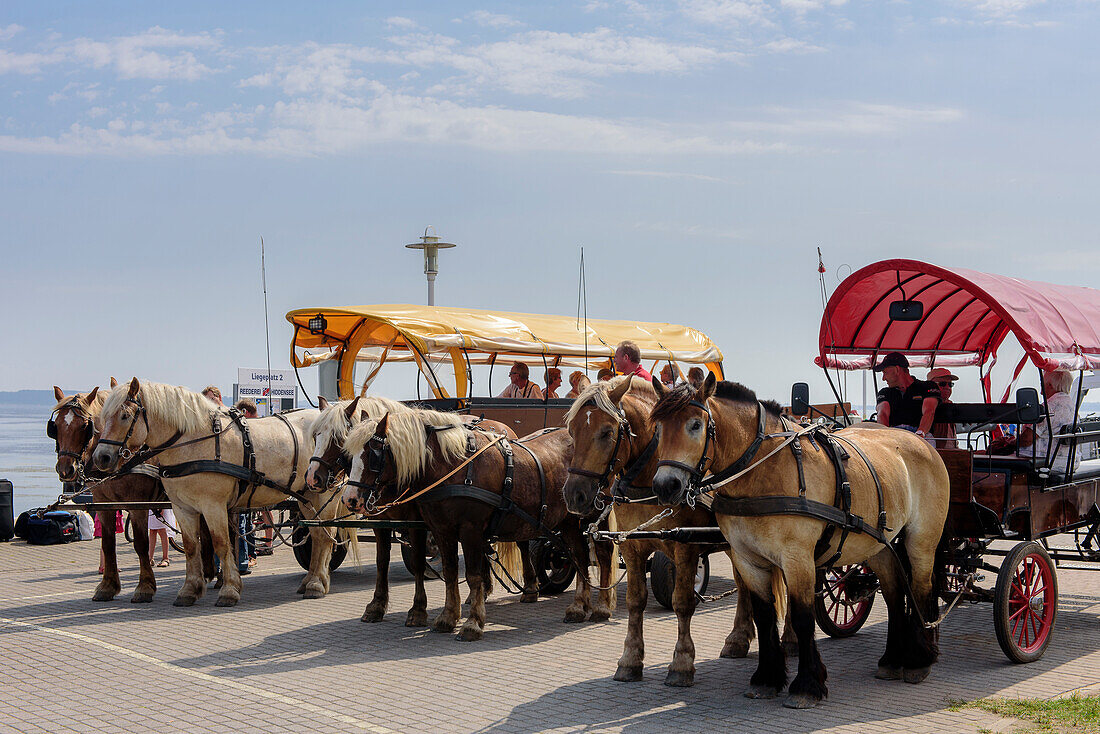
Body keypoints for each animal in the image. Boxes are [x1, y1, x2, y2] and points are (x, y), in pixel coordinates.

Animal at [90, 378, 338, 607]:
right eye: (104, 416)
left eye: (124, 415)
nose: (101, 457)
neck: (194, 442)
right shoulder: (182, 507)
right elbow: (191, 546)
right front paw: (190, 589)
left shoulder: (213, 506)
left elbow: (221, 544)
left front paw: (229, 590)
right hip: (307, 497)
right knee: (317, 535)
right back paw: (312, 580)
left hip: (324, 494)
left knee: (326, 536)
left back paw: (317, 583)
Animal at [338, 407, 607, 642]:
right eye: (347, 455)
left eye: (373, 453)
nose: (350, 499)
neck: (455, 467)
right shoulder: (441, 529)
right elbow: (448, 572)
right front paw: (448, 616)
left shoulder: (469, 530)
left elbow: (472, 575)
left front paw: (472, 623)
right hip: (565, 522)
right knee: (574, 555)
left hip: (582, 519)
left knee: (590, 554)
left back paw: (583, 605)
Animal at [567, 378, 792, 691]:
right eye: (572, 431)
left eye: (607, 432)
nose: (573, 495)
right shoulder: (633, 550)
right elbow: (635, 601)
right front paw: (630, 659)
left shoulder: (684, 546)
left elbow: (682, 602)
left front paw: (682, 662)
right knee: (744, 583)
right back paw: (738, 637)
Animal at [646, 376, 950, 708]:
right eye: (658, 428)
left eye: (695, 425)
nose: (665, 486)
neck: (766, 469)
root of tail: (920, 442)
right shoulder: (747, 559)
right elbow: (764, 615)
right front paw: (766, 678)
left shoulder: (797, 558)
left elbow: (803, 618)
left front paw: (807, 685)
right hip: (878, 544)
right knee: (895, 593)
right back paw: (892, 660)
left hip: (921, 541)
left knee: (920, 589)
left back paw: (919, 661)